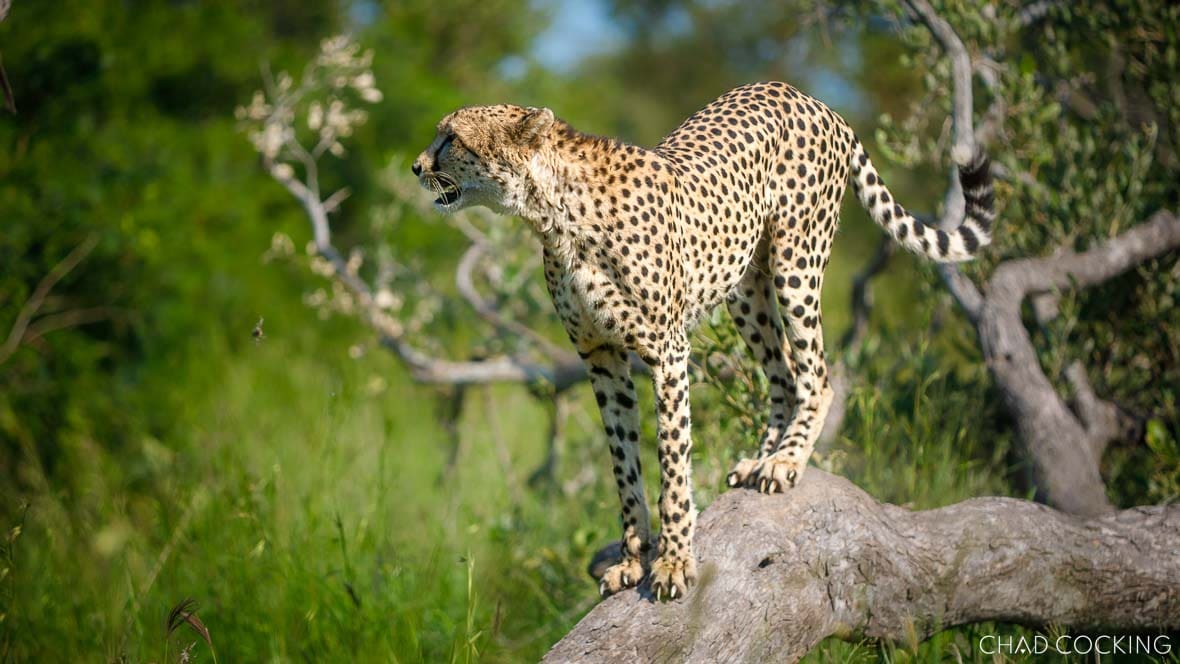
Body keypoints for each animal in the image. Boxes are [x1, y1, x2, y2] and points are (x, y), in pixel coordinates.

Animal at [413, 81, 993, 601]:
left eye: (451, 138)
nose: (417, 167)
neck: (555, 215)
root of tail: (809, 97)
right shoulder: (600, 357)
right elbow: (624, 466)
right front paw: (632, 559)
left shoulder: (666, 352)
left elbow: (674, 461)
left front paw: (672, 563)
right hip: (745, 289)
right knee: (783, 375)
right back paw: (761, 458)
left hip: (796, 263)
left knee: (817, 375)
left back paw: (786, 461)